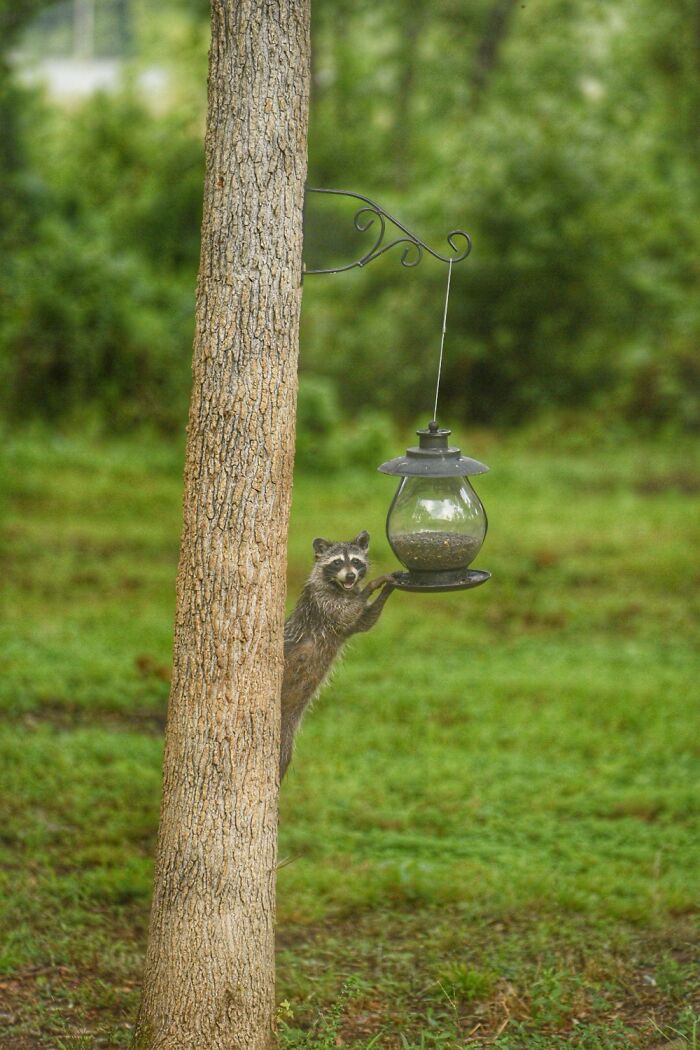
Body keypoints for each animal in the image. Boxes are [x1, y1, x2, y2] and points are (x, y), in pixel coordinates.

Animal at [280, 530, 395, 779]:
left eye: (356, 561)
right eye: (337, 562)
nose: (351, 575)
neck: (341, 588)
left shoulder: (348, 624)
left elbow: (364, 621)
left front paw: (387, 589)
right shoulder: (320, 601)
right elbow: (346, 612)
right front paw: (370, 588)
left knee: (284, 755)